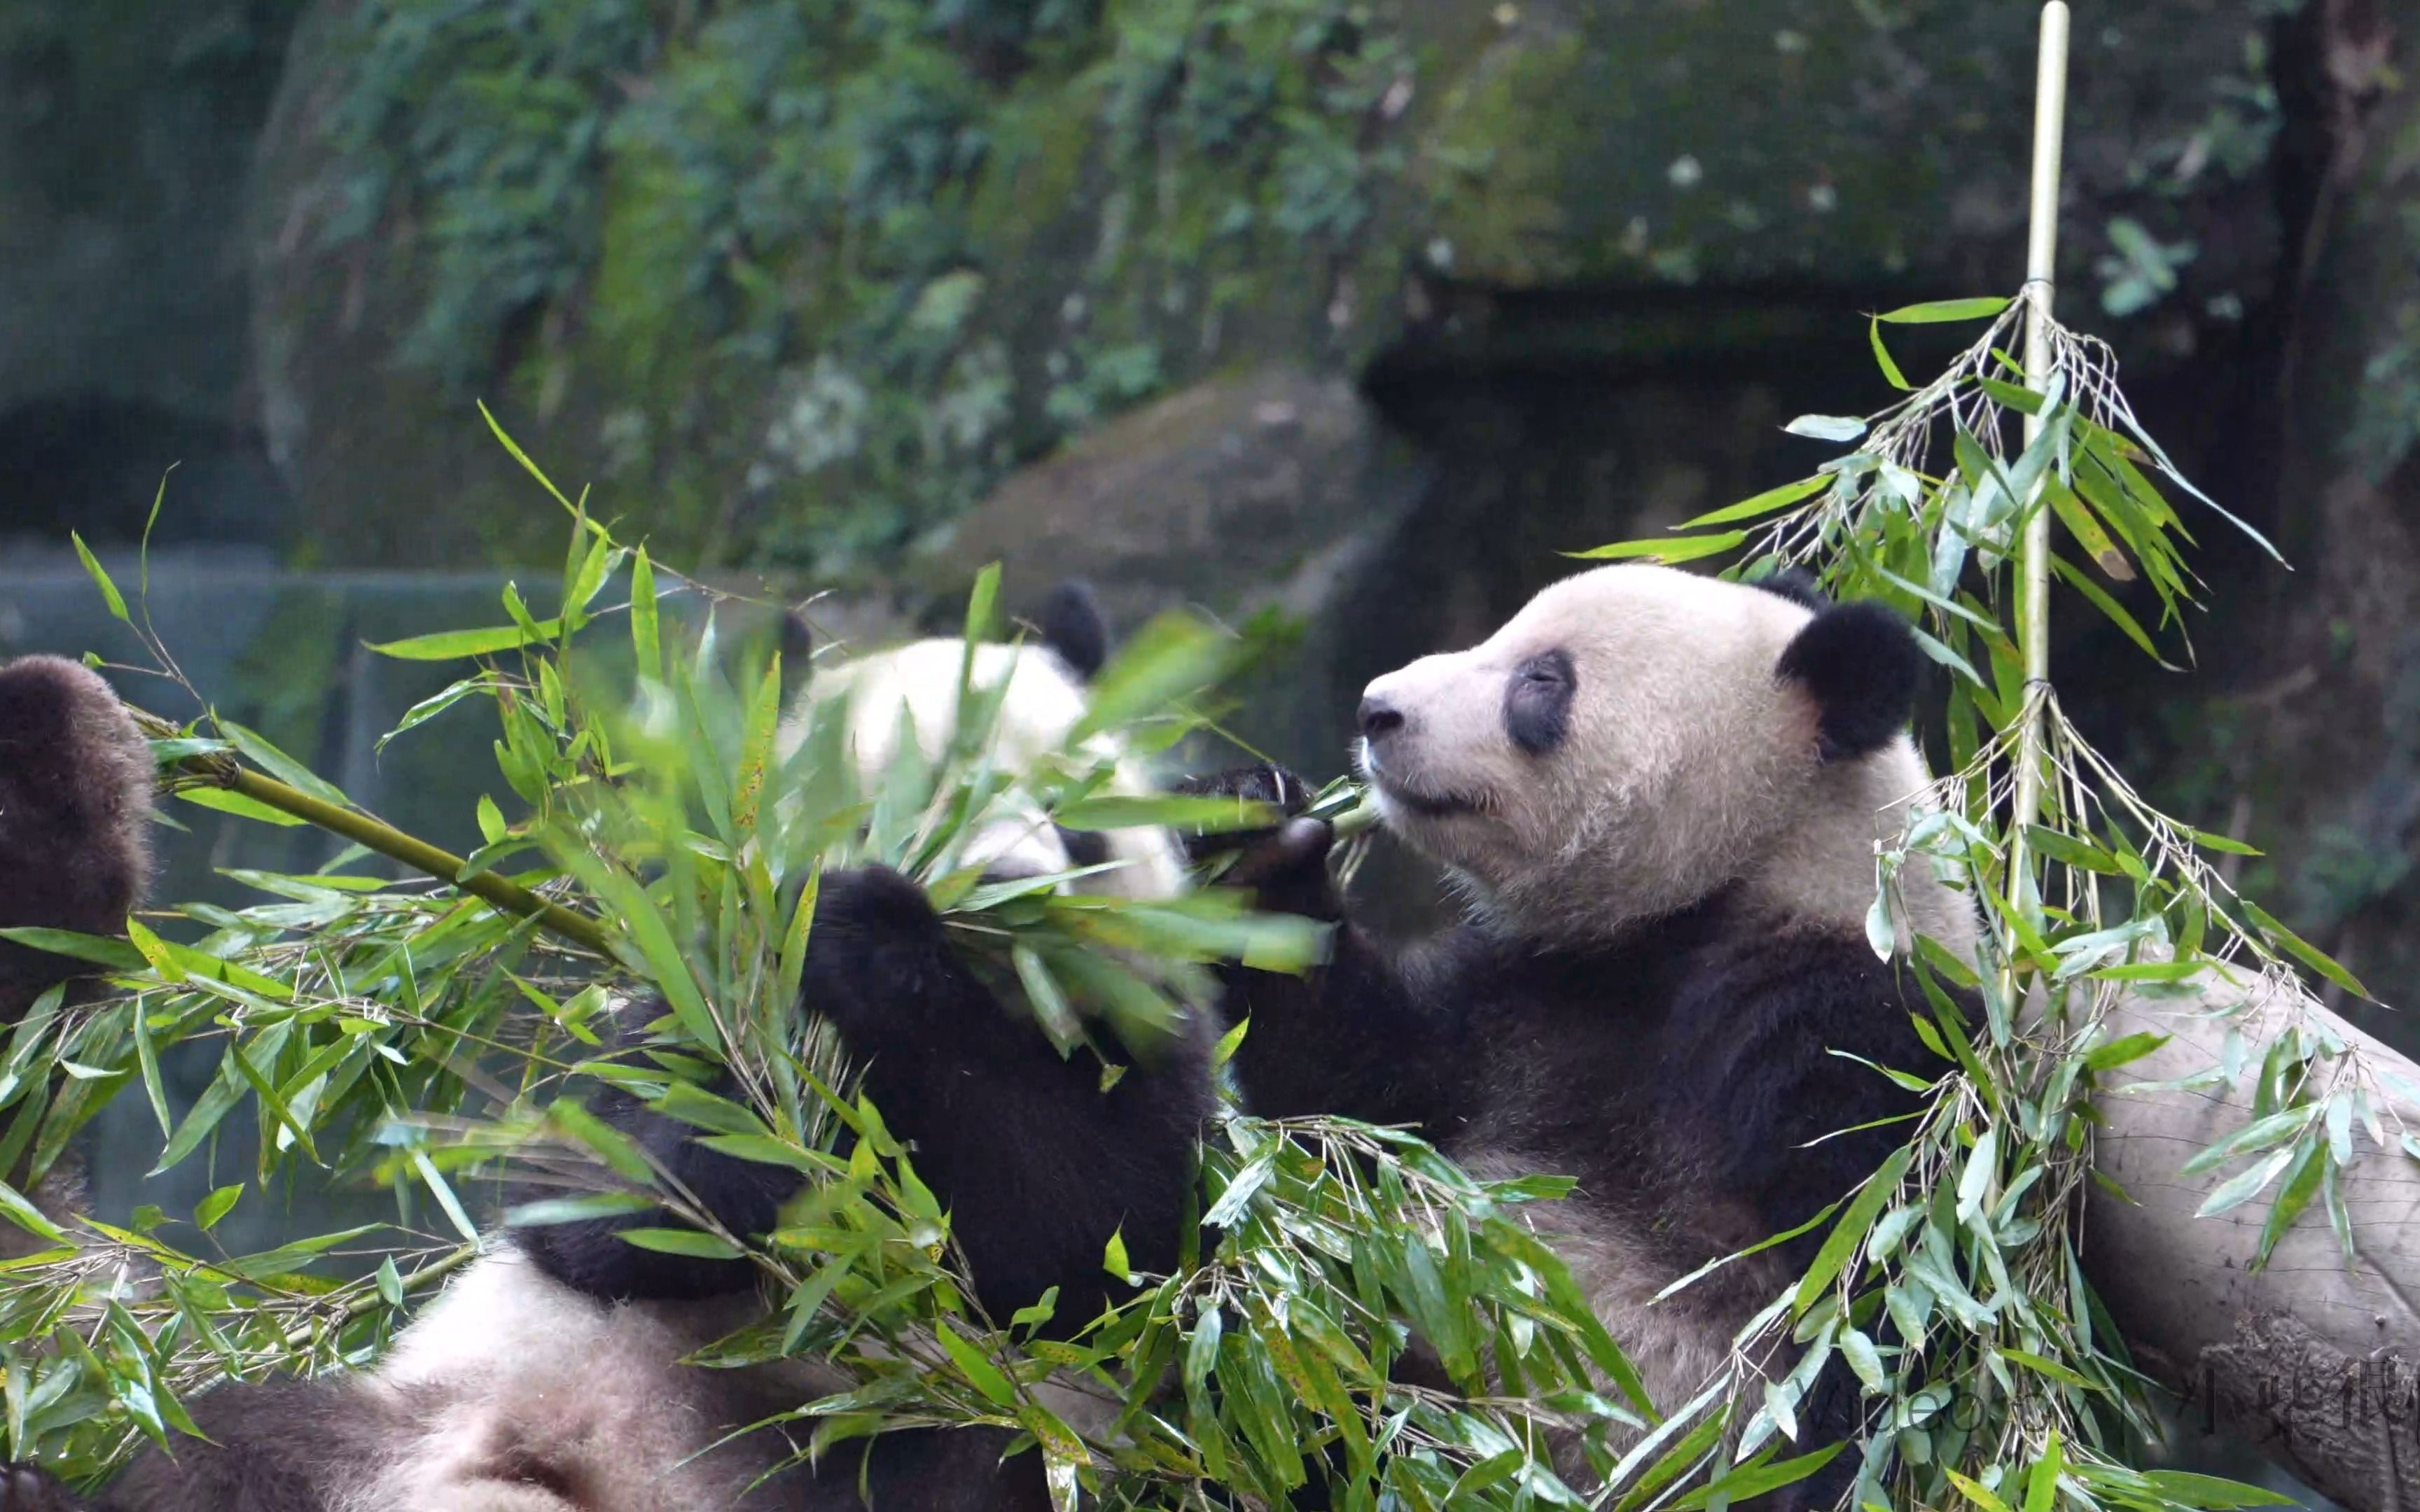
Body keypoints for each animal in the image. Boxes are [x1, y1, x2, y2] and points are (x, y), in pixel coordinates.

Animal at [0, 587, 1210, 1509]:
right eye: (885, 814)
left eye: (1072, 811)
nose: (1002, 891)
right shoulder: (679, 1002)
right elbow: (591, 1204)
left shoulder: (1151, 1049)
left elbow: (1091, 1246)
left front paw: (884, 963)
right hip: (398, 1416)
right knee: (204, 1450)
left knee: (976, 1452)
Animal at [1181, 561, 1975, 1499]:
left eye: (1542, 680)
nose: (1377, 711)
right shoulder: (1533, 994)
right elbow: (1361, 1080)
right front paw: (1250, 836)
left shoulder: (1852, 1035)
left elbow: (1864, 1301)